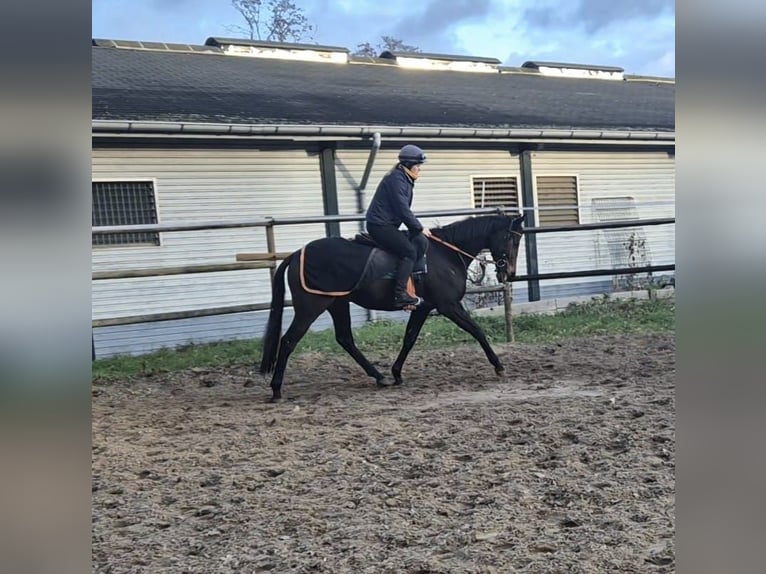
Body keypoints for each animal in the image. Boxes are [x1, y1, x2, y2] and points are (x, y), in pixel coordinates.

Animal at [260, 214, 524, 402]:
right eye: (512, 238)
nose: (509, 273)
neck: (446, 254)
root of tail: (297, 254)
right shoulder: (448, 305)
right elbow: (477, 331)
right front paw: (498, 366)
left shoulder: (423, 308)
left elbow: (409, 339)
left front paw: (396, 373)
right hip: (311, 307)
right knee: (289, 341)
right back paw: (276, 389)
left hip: (337, 303)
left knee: (345, 339)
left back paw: (380, 377)